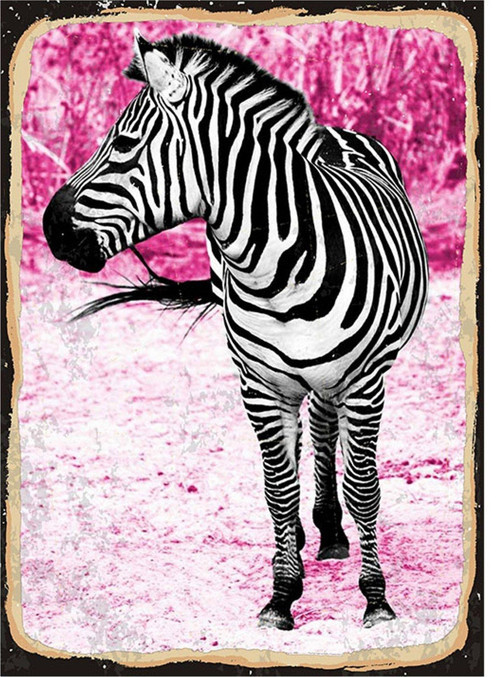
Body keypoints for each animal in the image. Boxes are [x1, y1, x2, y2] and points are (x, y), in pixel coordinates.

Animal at [43, 32, 428, 632]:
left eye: (124, 144)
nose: (49, 229)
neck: (280, 265)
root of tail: (334, 130)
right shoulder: (260, 385)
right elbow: (277, 488)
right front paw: (282, 594)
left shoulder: (365, 382)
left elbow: (364, 489)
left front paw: (376, 598)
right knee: (310, 435)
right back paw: (311, 534)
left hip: (338, 377)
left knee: (325, 431)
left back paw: (332, 531)